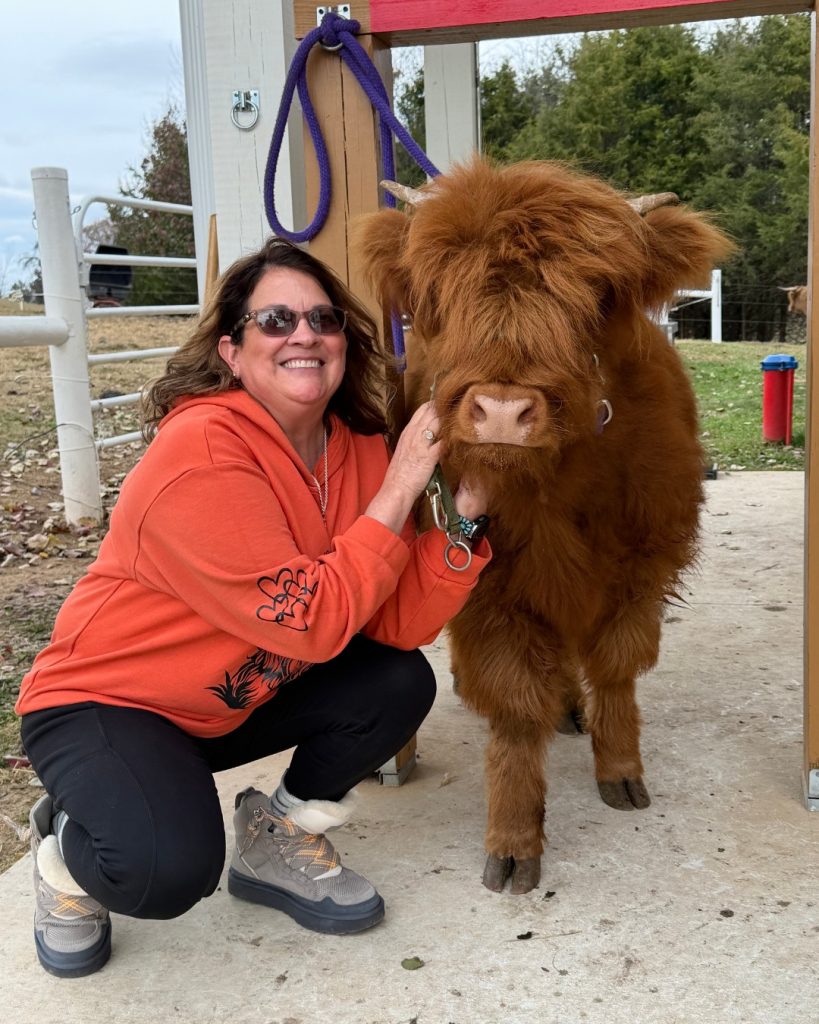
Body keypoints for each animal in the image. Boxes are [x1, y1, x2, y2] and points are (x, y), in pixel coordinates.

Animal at [354, 158, 733, 895]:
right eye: (439, 292)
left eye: (596, 295)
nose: (502, 411)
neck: (556, 488)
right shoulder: (488, 588)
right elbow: (513, 707)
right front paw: (512, 839)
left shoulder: (641, 567)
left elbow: (616, 668)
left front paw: (620, 771)